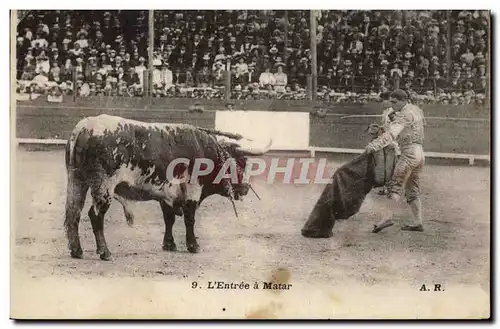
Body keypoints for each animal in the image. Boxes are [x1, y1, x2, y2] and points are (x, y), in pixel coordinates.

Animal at [65, 114, 274, 260]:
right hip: (103, 186)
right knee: (95, 215)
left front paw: (169, 244)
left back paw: (77, 250)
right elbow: (189, 219)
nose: (245, 188)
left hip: (77, 181)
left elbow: (169, 219)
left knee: (73, 213)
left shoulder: (166, 194)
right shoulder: (192, 191)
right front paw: (193, 246)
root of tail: (84, 128)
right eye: (241, 163)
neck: (206, 152)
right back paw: (105, 252)